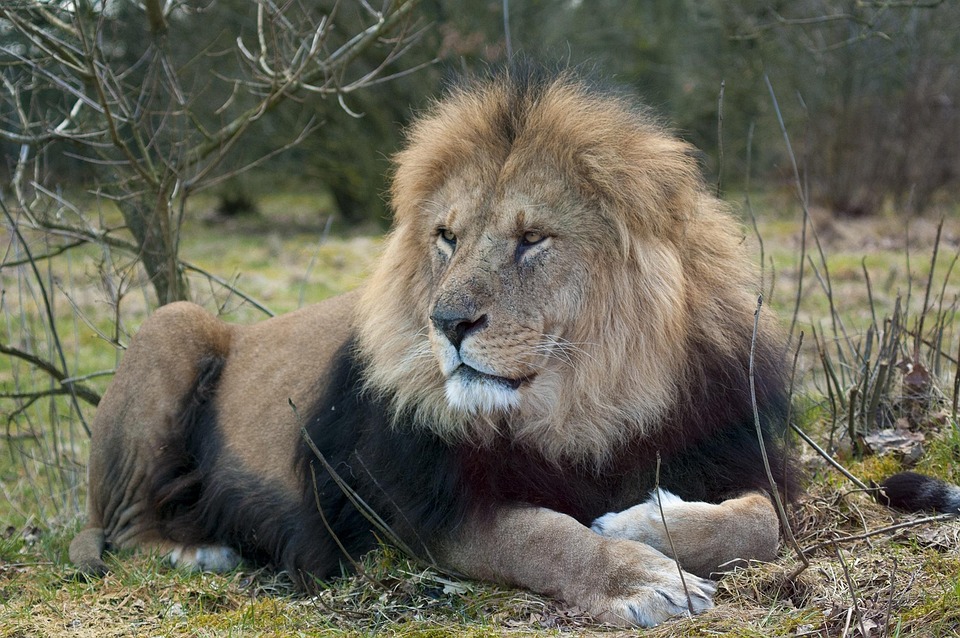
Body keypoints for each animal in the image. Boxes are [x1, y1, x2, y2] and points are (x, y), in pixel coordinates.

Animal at [70, 65, 801, 628]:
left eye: (532, 238)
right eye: (448, 236)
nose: (446, 322)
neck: (587, 404)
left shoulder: (730, 446)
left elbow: (762, 520)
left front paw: (644, 519)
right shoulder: (413, 508)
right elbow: (541, 535)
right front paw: (642, 577)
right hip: (174, 323)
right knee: (125, 527)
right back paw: (198, 552)